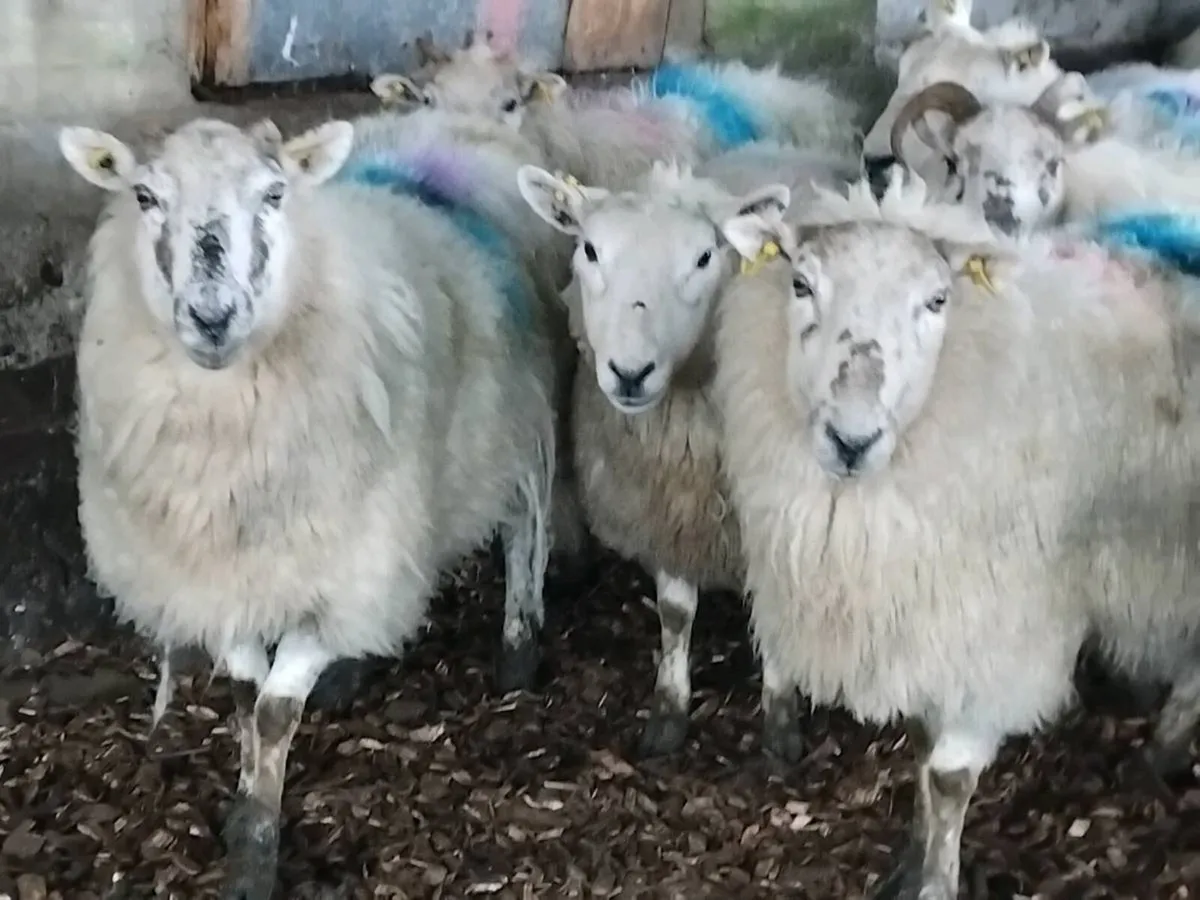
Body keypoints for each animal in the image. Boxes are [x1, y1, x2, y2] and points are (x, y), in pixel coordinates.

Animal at [58, 114, 561, 900]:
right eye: (143, 195)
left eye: (274, 193)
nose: (211, 317)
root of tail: (449, 127)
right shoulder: (227, 578)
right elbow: (243, 695)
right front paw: (247, 822)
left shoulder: (342, 568)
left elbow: (274, 712)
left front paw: (257, 852)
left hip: (519, 419)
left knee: (526, 525)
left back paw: (518, 648)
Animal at [513, 147, 853, 759]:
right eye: (590, 250)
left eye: (704, 257)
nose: (630, 372)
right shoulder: (664, 504)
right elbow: (674, 613)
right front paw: (668, 712)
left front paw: (781, 722)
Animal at [710, 168, 1200, 899]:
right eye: (800, 284)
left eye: (937, 299)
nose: (851, 440)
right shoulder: (920, 616)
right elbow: (918, 748)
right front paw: (913, 857)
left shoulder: (992, 628)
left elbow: (948, 778)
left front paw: (937, 882)